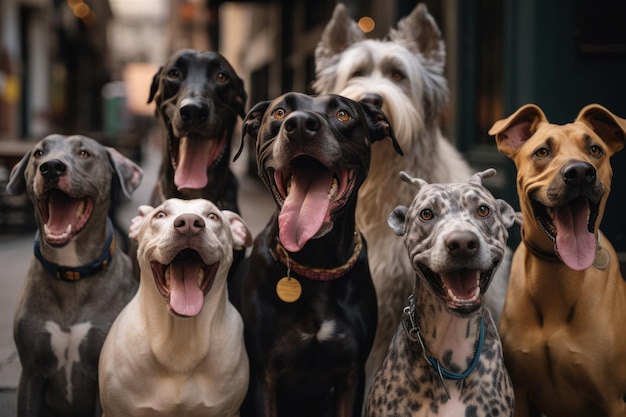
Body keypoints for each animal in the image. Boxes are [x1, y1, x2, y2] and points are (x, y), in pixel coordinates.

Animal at [6, 133, 143, 416]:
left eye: (84, 153)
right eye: (39, 153)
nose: (51, 167)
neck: (71, 272)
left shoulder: (102, 380)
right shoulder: (31, 373)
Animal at [233, 93, 400, 416]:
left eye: (343, 114)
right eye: (279, 112)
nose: (299, 125)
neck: (317, 260)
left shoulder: (351, 376)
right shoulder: (263, 377)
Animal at [488, 103, 624, 416]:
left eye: (595, 149)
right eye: (542, 152)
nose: (580, 172)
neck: (557, 271)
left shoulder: (614, 400)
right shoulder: (520, 394)